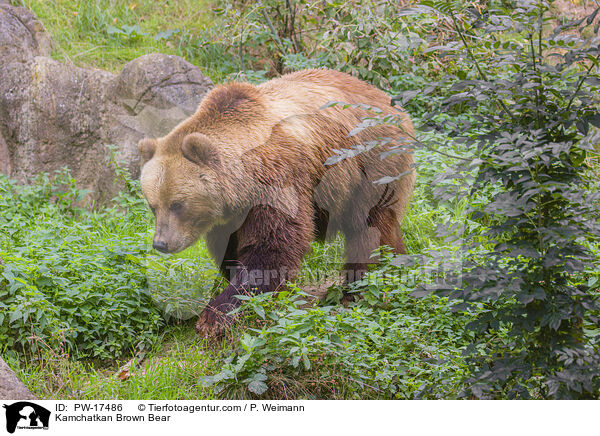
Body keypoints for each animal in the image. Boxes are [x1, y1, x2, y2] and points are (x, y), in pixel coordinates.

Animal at [138, 68, 414, 336]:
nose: (161, 243)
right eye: (153, 205)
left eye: (177, 204)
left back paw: (361, 285)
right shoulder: (230, 215)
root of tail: (389, 101)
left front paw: (215, 316)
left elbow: (272, 246)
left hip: (371, 162)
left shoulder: (276, 181)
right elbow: (230, 249)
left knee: (369, 226)